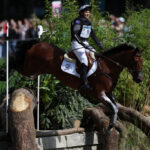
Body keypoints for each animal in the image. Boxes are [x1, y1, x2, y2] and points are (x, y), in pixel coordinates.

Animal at [9, 39, 143, 130]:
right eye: (135, 60)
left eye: (141, 61)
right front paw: (109, 126)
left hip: (36, 70)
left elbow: (115, 107)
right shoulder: (100, 94)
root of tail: (38, 44)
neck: (107, 67)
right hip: (29, 67)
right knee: (15, 65)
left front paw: (111, 124)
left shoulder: (109, 94)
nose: (139, 79)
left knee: (28, 73)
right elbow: (114, 108)